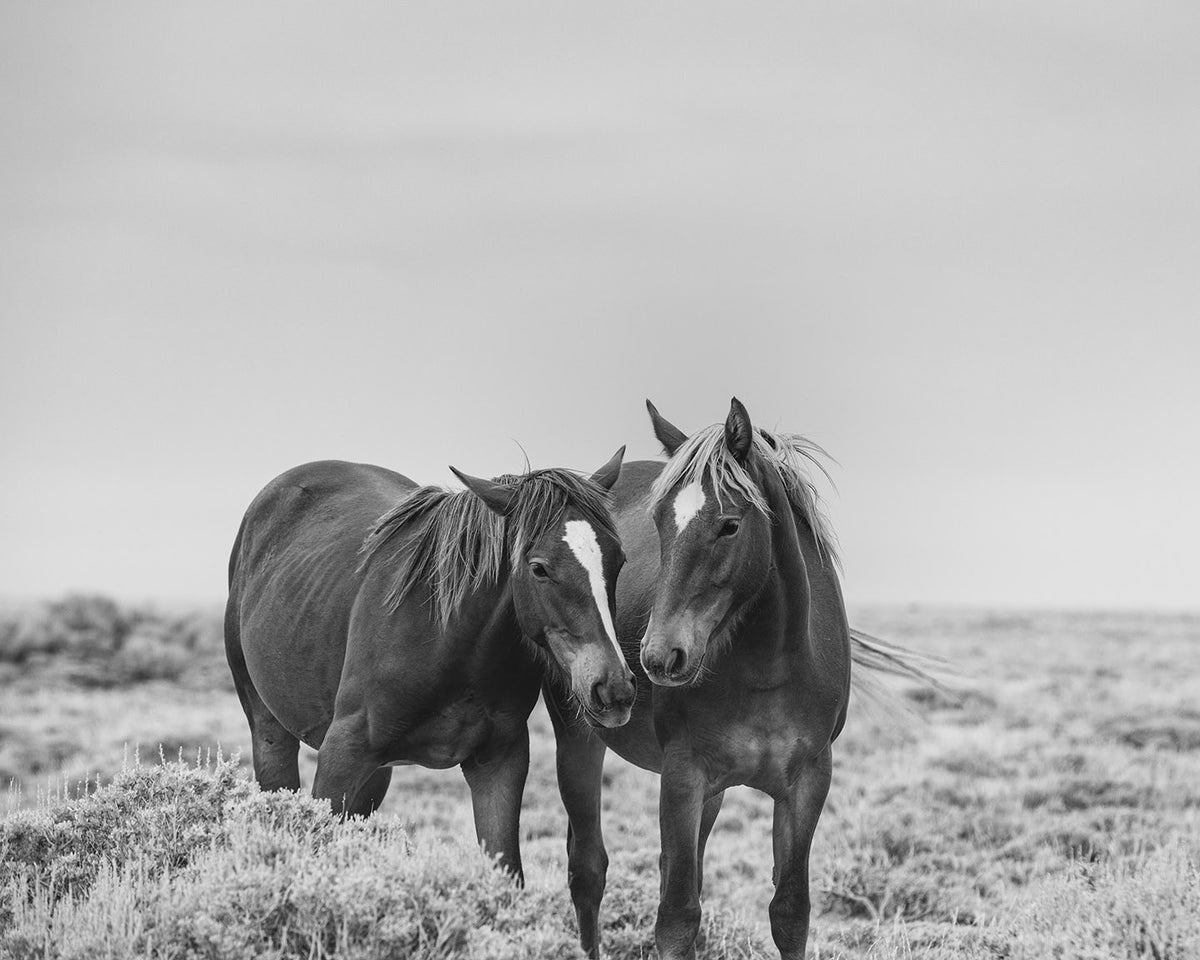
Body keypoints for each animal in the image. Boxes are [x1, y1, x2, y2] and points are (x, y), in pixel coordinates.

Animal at [226, 451, 638, 883]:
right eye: (539, 568)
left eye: (618, 560)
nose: (614, 688)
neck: (446, 641)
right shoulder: (341, 757)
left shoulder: (499, 764)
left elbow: (507, 868)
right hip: (270, 732)